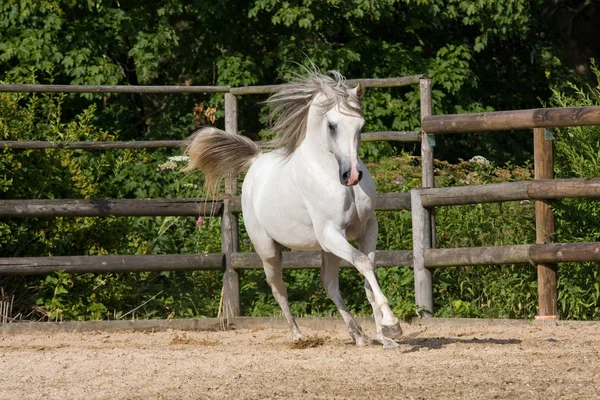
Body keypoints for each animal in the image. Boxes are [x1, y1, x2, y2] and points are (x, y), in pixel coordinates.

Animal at [186, 71, 404, 346]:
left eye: (361, 126)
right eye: (332, 126)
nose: (352, 176)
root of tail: (256, 161)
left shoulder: (366, 229)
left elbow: (368, 276)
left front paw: (385, 336)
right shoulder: (330, 232)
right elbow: (364, 264)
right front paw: (392, 325)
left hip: (327, 247)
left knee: (329, 283)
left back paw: (357, 334)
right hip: (269, 249)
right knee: (278, 286)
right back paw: (298, 334)